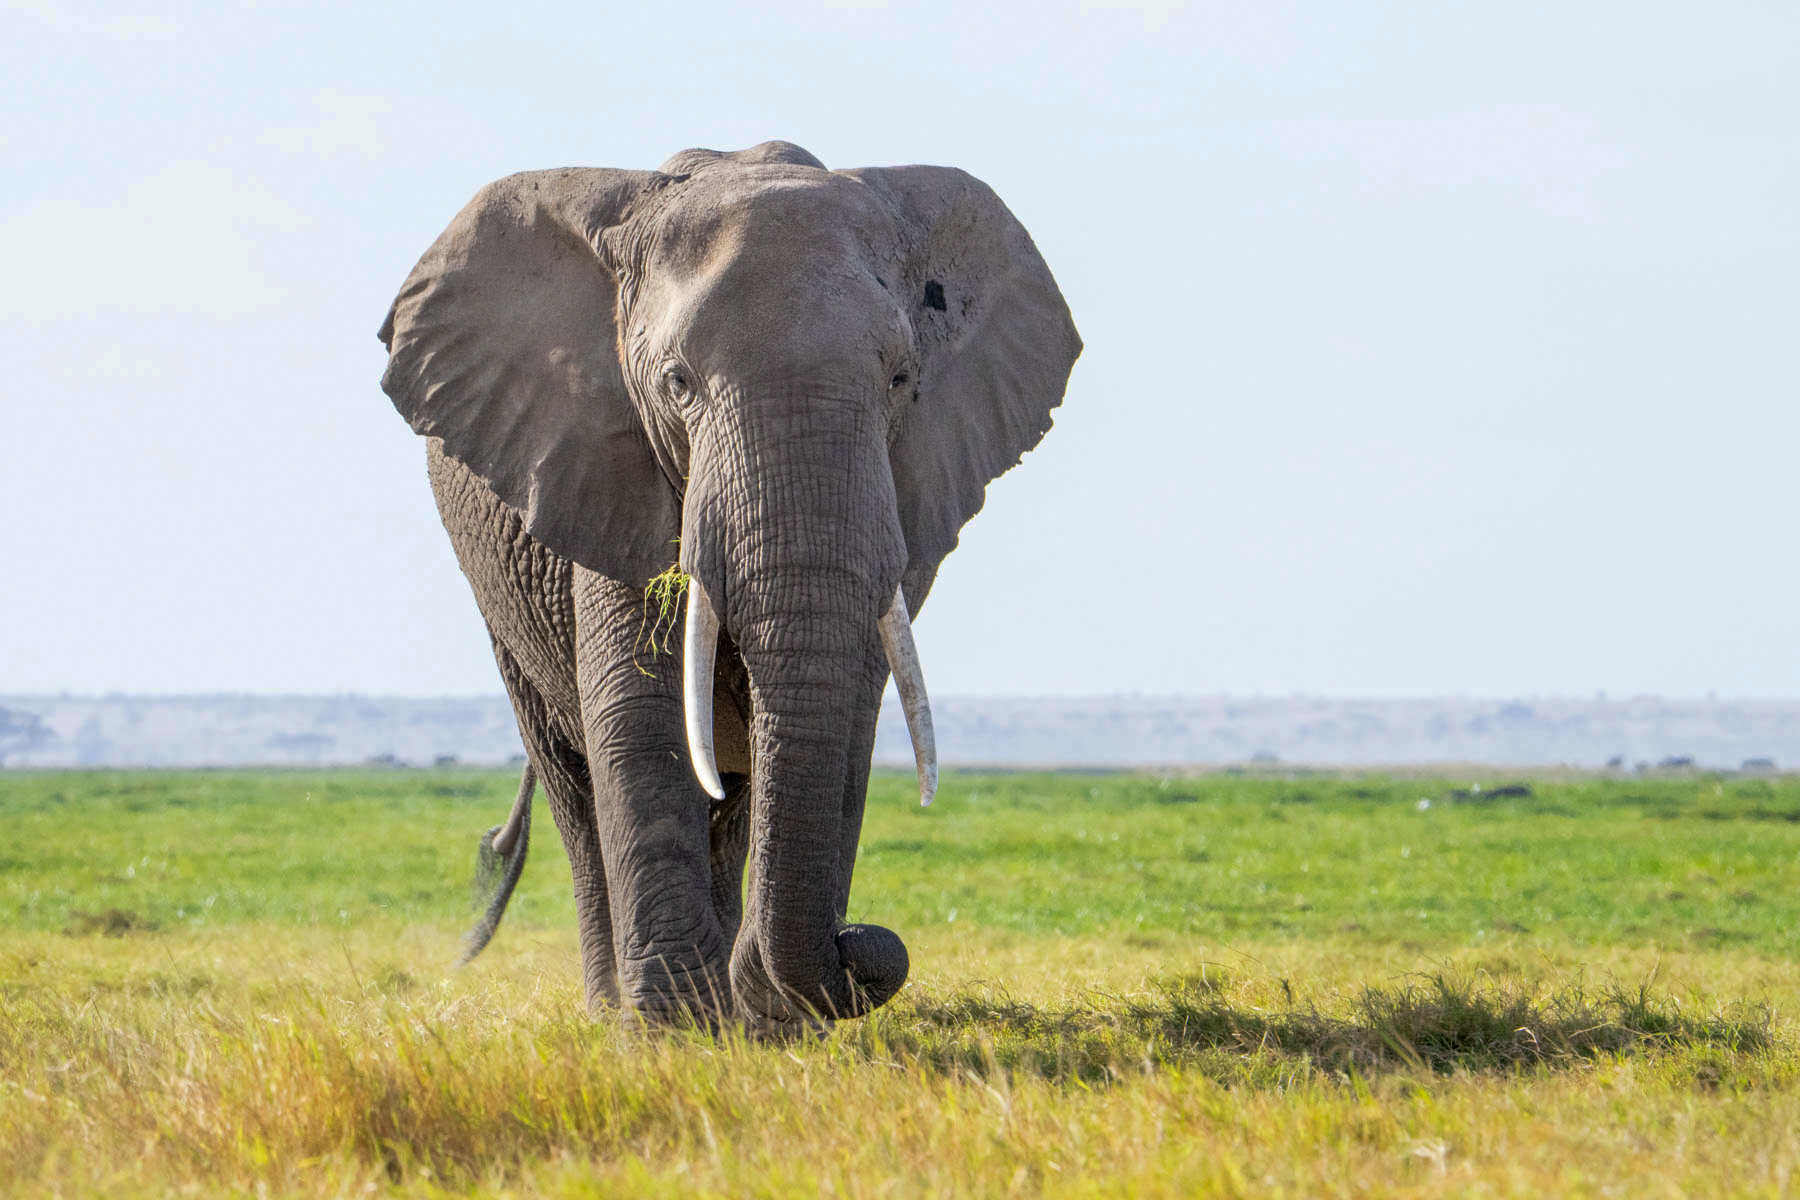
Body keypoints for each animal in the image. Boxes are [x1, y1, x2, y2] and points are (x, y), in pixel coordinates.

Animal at [377, 140, 1080, 1029]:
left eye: (900, 380)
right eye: (678, 383)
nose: (863, 945)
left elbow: (848, 711)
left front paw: (766, 1027)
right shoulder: (607, 466)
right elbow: (638, 713)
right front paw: (674, 1031)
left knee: (734, 795)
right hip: (502, 604)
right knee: (574, 780)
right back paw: (620, 1009)